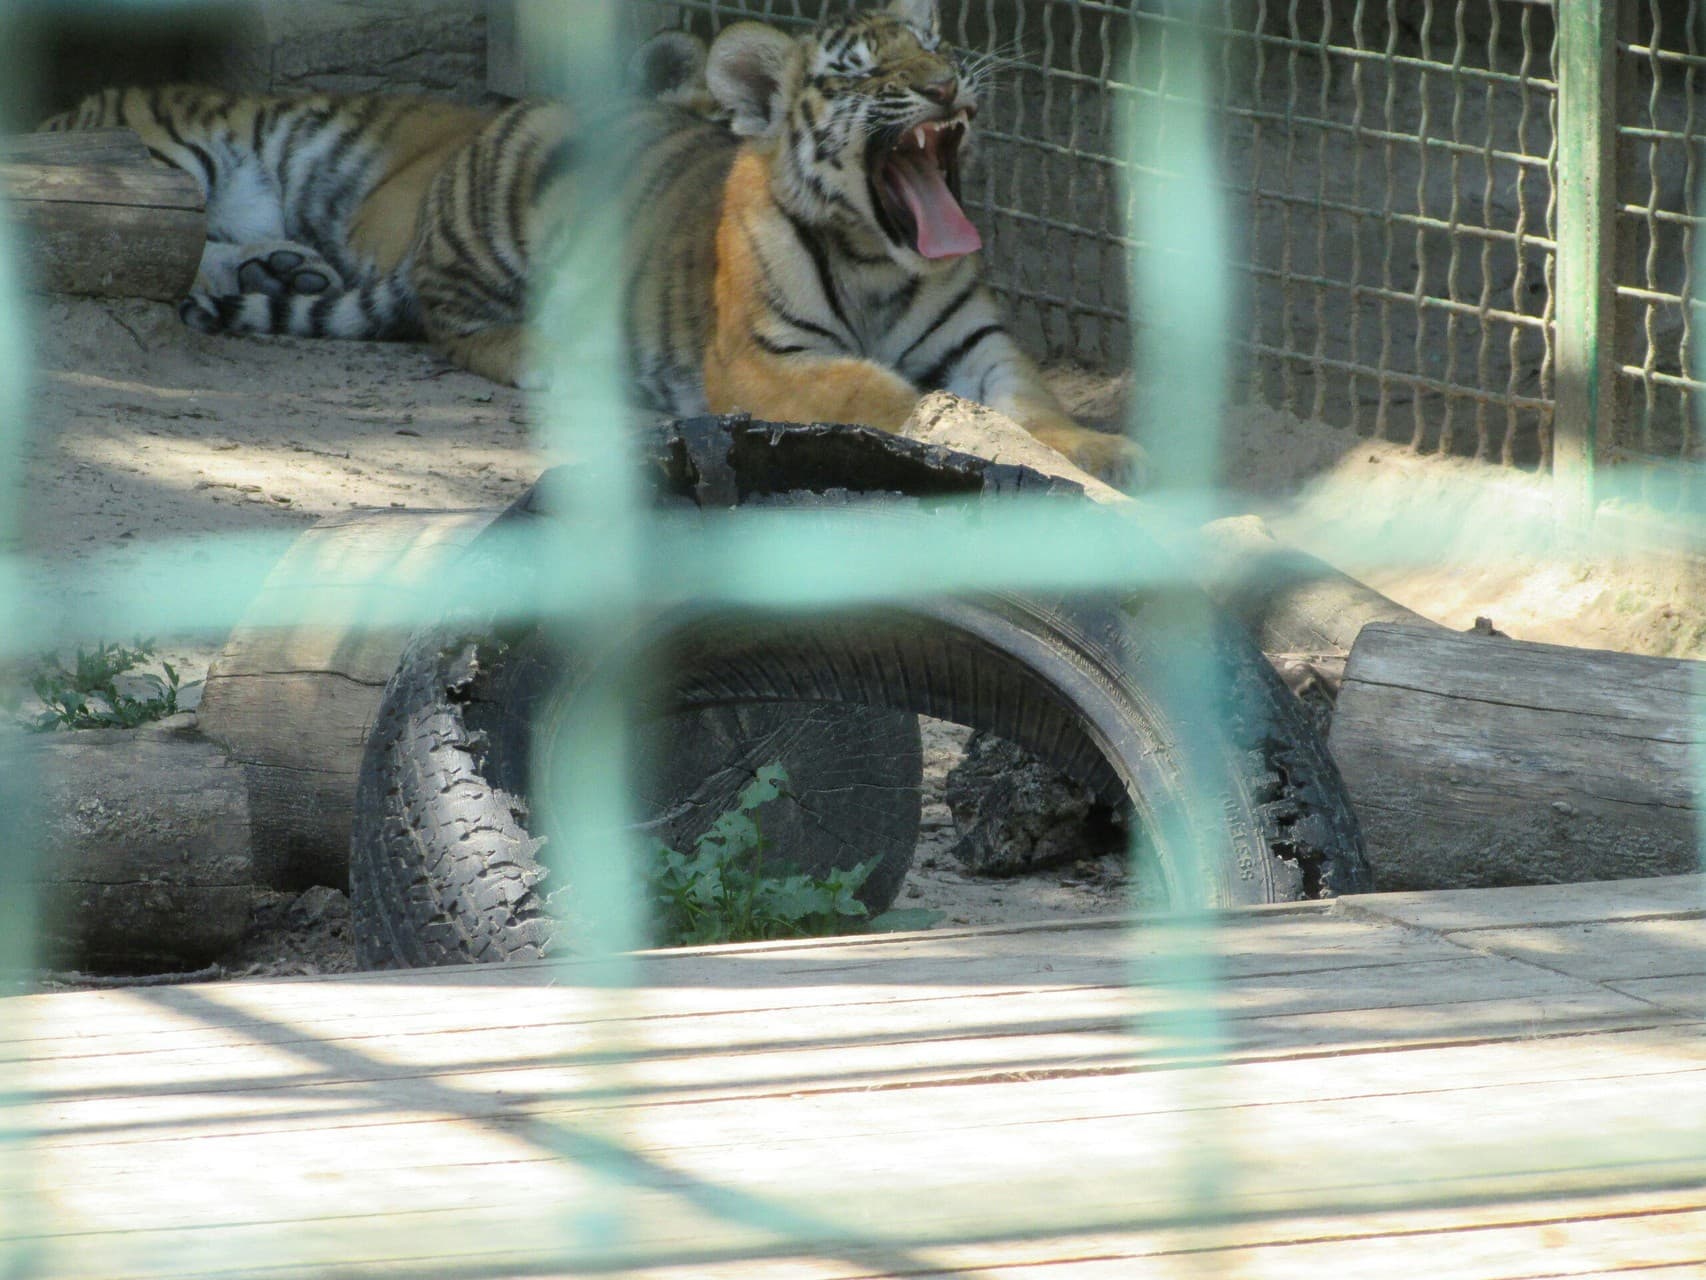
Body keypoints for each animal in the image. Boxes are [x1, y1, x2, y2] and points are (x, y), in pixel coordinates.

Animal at [39, 0, 1140, 485]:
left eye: (933, 42)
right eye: (867, 69)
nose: (951, 86)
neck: (880, 255)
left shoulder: (983, 347)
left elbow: (1039, 408)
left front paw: (1105, 452)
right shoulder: (765, 360)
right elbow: (891, 397)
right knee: (450, 319)